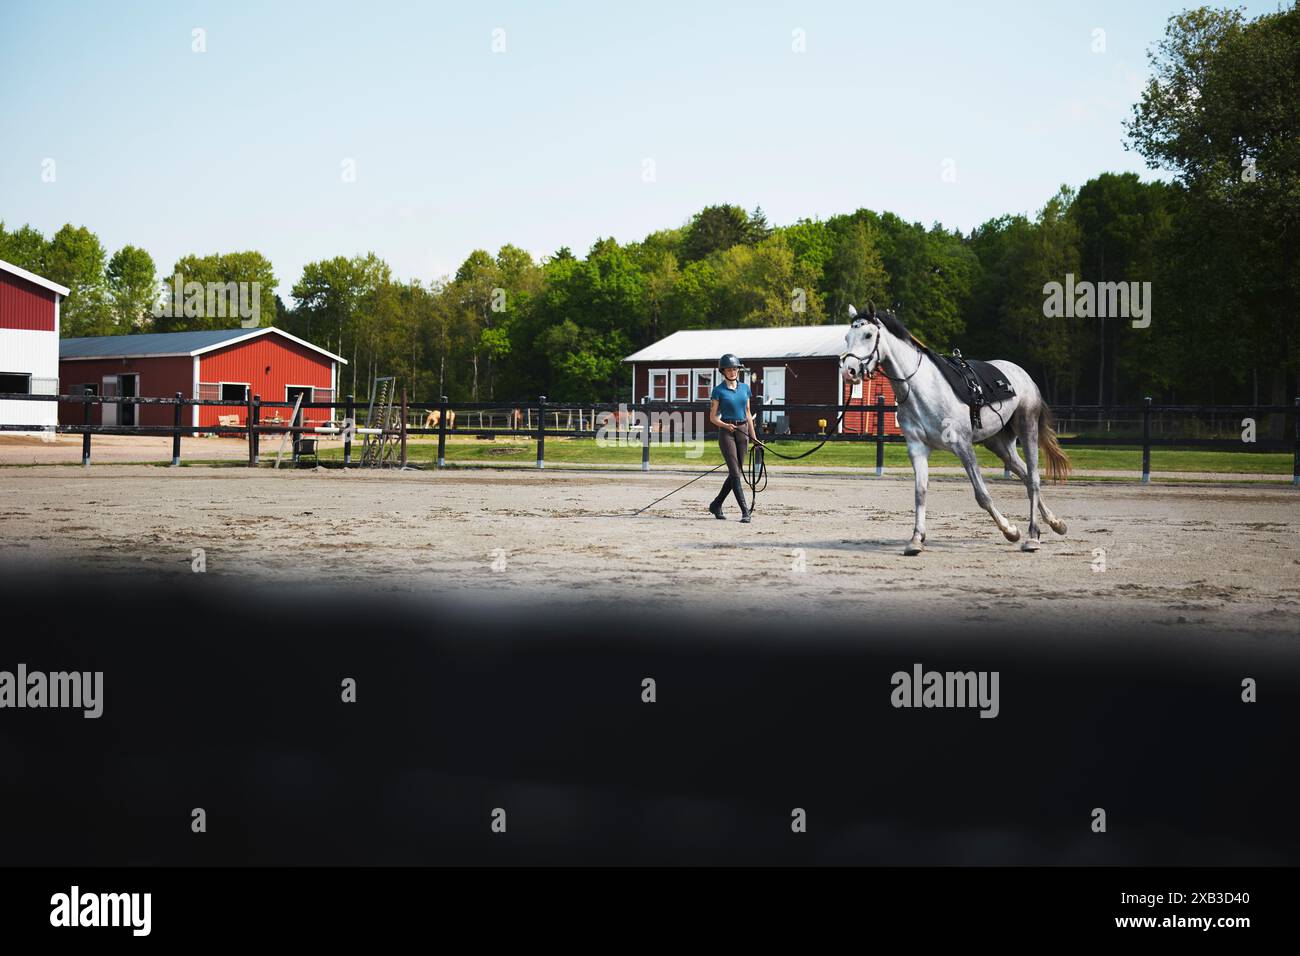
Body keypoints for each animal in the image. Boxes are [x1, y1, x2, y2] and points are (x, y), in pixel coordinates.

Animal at [839, 302, 1070, 555]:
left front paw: (1010, 531)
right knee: (1026, 477)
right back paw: (1056, 523)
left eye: (868, 335)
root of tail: (1021, 374)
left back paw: (1032, 536)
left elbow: (982, 495)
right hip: (999, 444)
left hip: (1027, 427)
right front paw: (916, 540)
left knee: (1034, 480)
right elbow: (920, 492)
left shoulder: (962, 445)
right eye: (847, 336)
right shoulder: (917, 448)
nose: (849, 371)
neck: (921, 387)